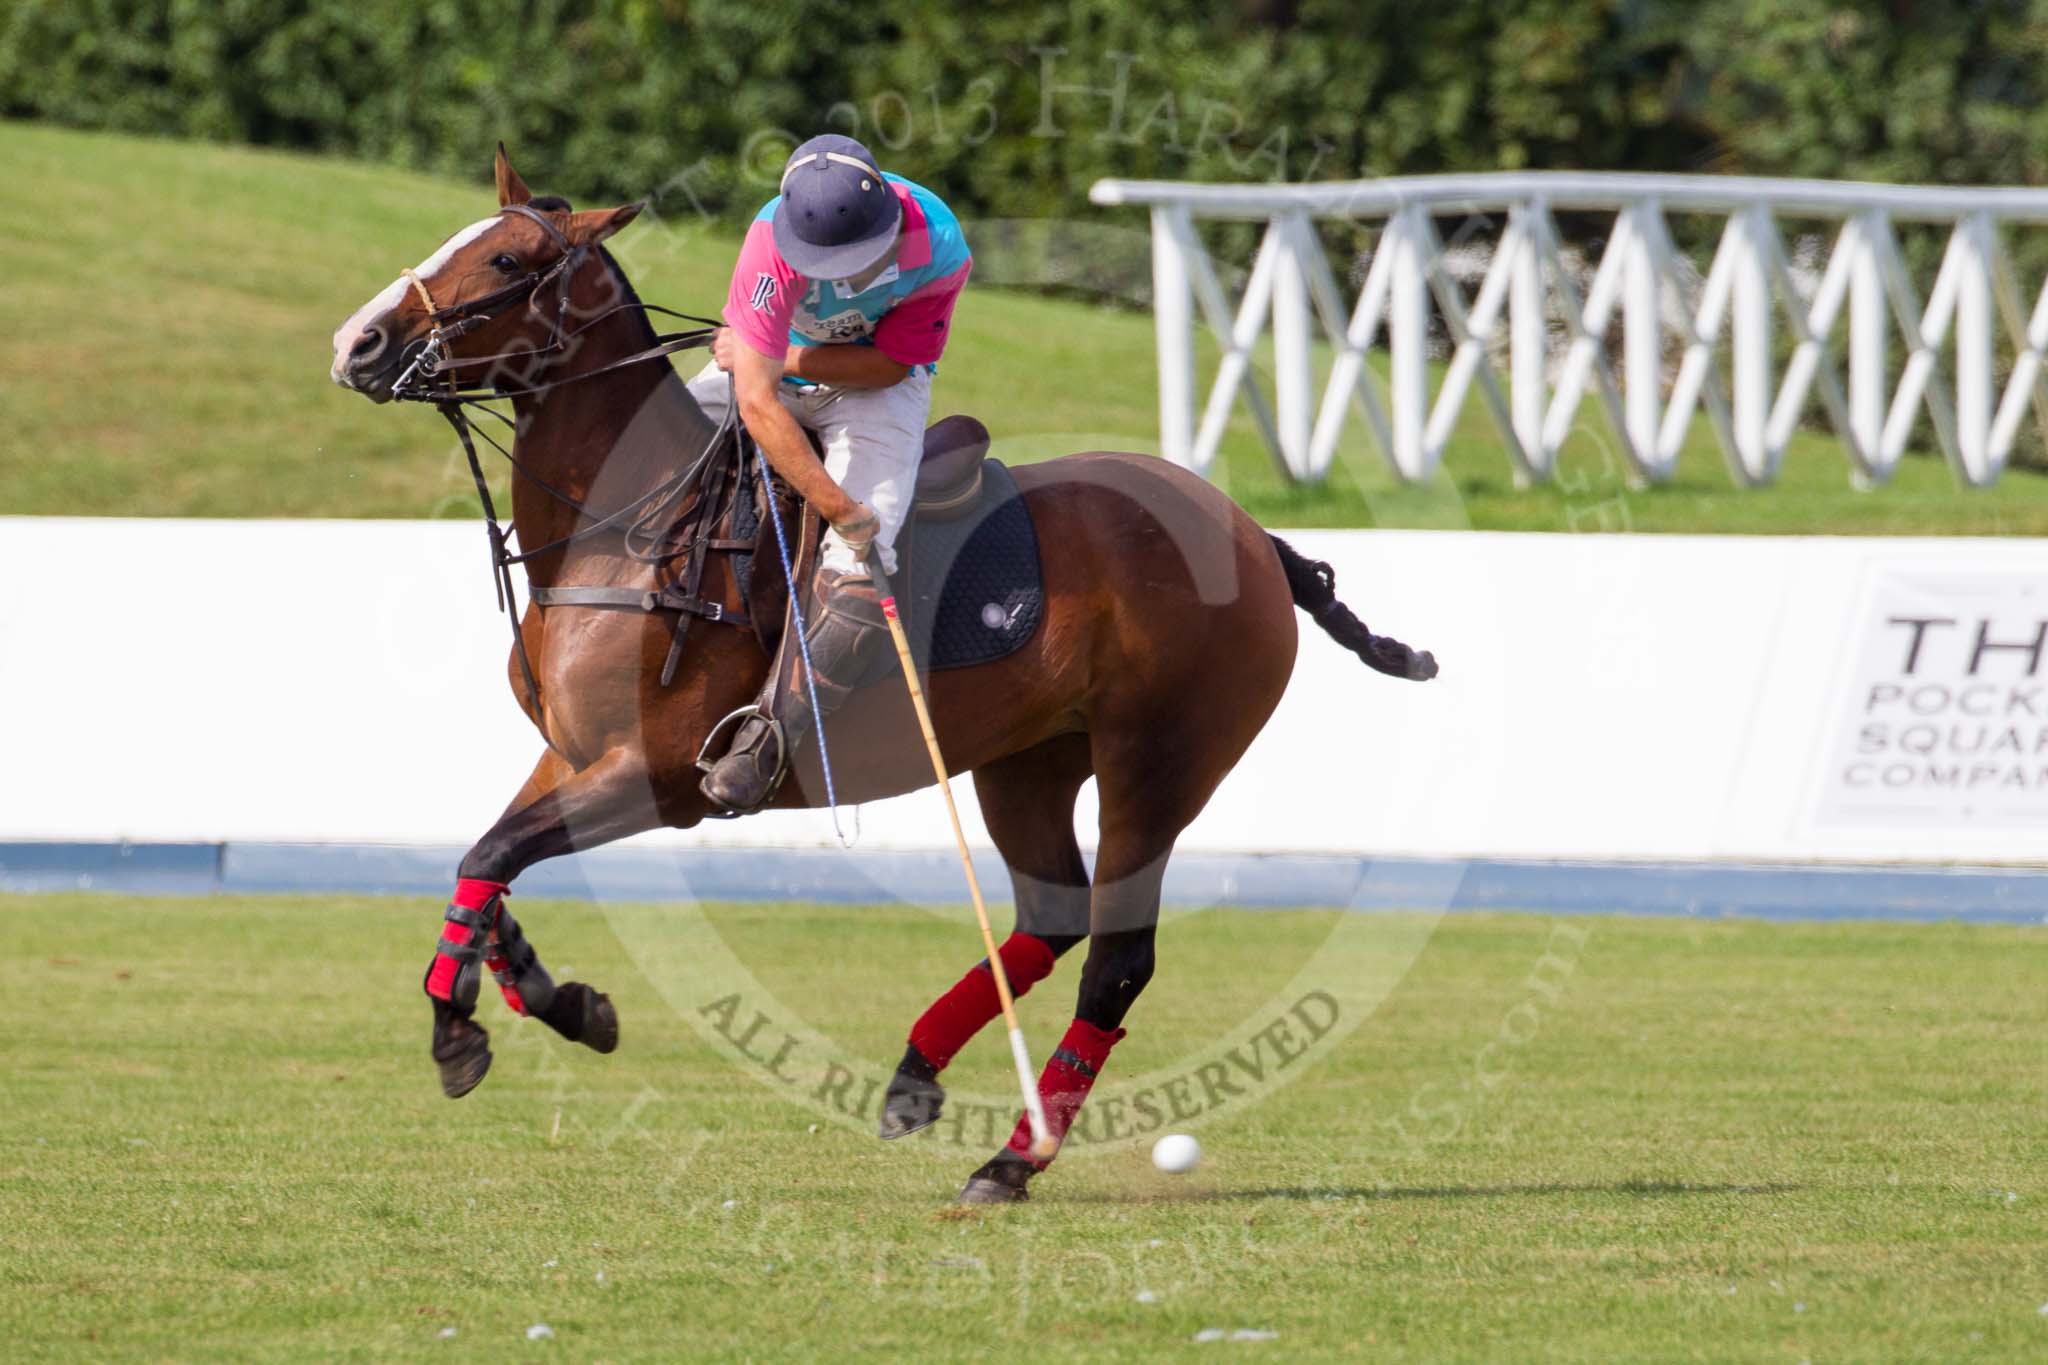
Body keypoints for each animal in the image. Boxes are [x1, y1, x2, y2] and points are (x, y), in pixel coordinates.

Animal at [327, 144, 1433, 1203]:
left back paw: (1010, 1161)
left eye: (509, 263)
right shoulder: (572, 755)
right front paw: (559, 999)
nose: (357, 345)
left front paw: (459, 1032)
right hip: (1029, 759)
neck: (629, 521)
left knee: (1118, 958)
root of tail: (1255, 538)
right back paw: (915, 1075)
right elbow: (488, 861)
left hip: (1159, 760)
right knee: (1049, 918)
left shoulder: (660, 776)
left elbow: (491, 852)